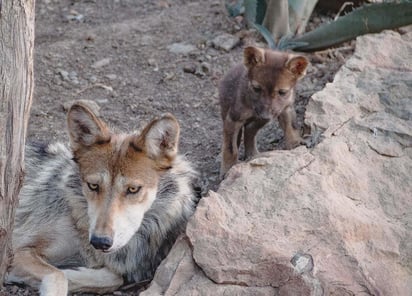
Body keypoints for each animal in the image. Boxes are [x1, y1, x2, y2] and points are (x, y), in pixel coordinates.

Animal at [6, 100, 200, 294]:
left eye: (133, 189)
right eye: (93, 185)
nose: (100, 242)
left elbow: (114, 278)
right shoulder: (18, 250)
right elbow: (57, 275)